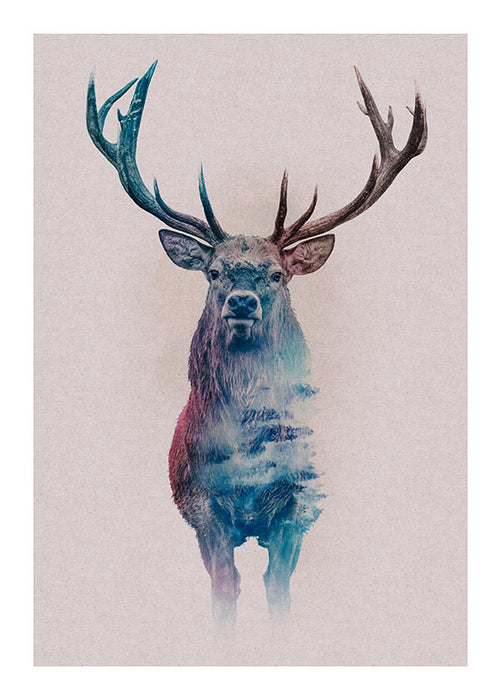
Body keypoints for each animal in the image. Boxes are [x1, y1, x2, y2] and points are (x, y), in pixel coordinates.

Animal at [87, 60, 427, 627]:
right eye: (214, 272)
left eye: (276, 274)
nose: (242, 302)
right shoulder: (200, 506)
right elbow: (226, 588)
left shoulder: (299, 507)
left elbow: (279, 589)